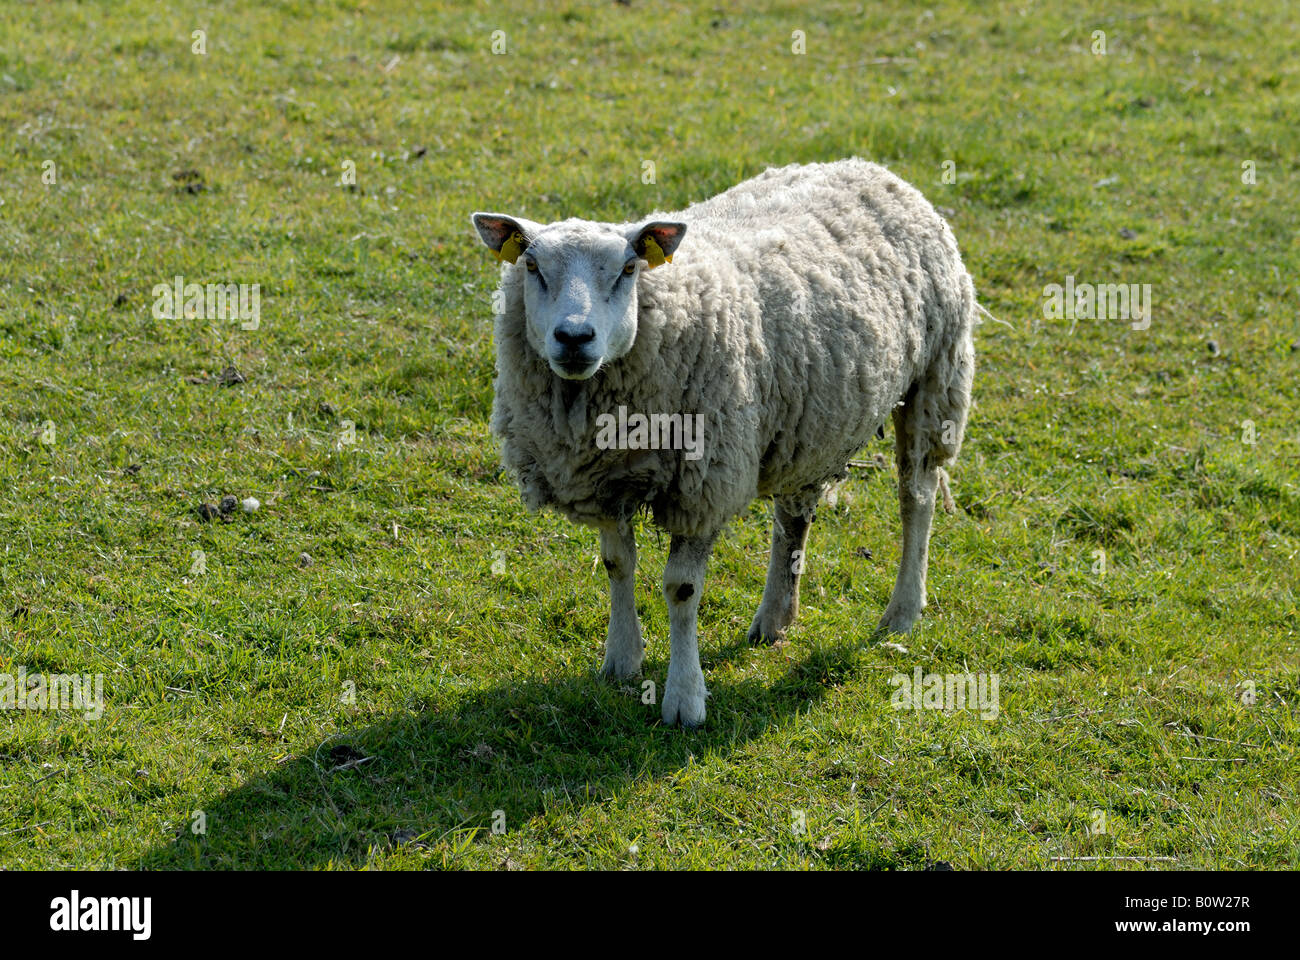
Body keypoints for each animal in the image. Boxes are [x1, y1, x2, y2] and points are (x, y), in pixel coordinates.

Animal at [472, 158, 976, 727]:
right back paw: (775, 617)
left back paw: (902, 611)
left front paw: (684, 698)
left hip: (935, 379)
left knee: (917, 499)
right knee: (794, 518)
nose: (574, 338)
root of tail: (871, 168)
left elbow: (681, 589)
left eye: (628, 270)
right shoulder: (604, 478)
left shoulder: (701, 484)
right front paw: (620, 660)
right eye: (533, 266)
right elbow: (617, 565)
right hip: (808, 422)